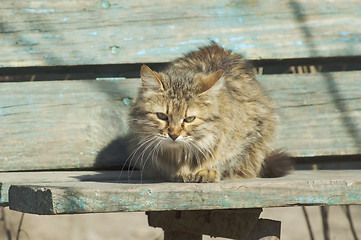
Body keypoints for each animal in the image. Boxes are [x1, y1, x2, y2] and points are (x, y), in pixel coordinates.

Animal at [125, 42, 292, 182]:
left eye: (189, 119)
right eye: (162, 116)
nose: (173, 135)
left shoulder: (251, 135)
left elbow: (225, 160)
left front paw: (206, 171)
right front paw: (182, 172)